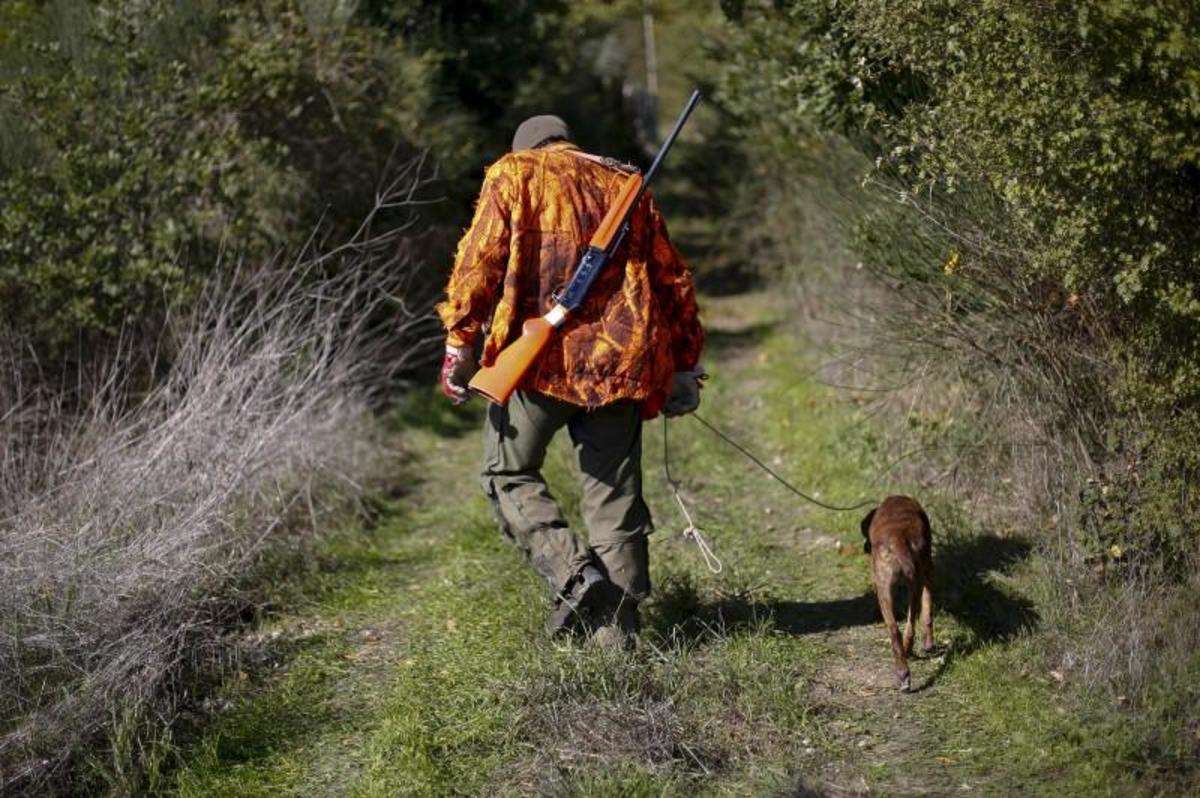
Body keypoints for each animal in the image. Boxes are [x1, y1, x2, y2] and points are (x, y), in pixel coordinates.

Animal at [864, 494, 936, 686]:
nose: (866, 547)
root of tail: (899, 538)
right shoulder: (927, 572)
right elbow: (927, 609)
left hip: (884, 589)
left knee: (894, 630)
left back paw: (902, 671)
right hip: (918, 580)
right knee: (911, 624)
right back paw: (909, 656)